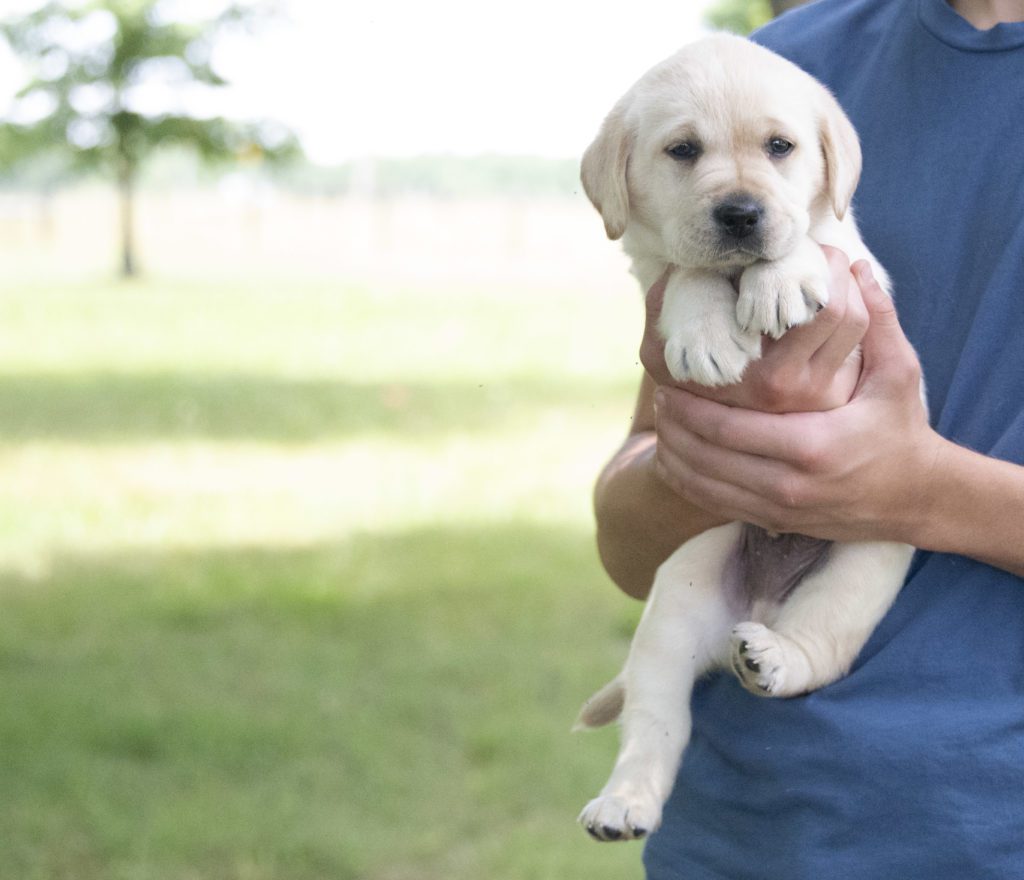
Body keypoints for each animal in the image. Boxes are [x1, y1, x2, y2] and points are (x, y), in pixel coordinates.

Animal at [577, 34, 921, 844]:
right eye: (682, 150)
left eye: (779, 148)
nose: (740, 212)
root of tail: (760, 611)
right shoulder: (652, 270)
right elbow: (686, 269)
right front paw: (706, 329)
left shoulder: (859, 268)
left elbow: (813, 238)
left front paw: (784, 276)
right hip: (673, 608)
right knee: (656, 723)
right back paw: (624, 802)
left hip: (864, 569)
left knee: (819, 649)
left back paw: (775, 659)